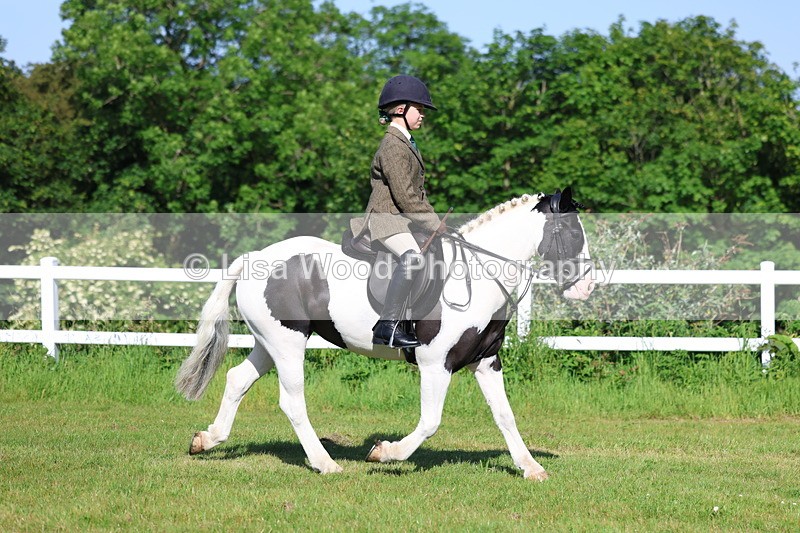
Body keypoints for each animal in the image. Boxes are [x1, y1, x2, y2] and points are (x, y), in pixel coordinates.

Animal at [175, 188, 595, 481]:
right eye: (571, 231)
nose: (586, 287)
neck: (480, 275)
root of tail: (255, 258)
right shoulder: (435, 364)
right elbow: (430, 421)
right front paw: (385, 453)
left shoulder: (486, 362)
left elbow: (506, 416)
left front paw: (531, 467)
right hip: (287, 344)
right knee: (292, 402)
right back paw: (325, 463)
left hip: (270, 343)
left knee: (236, 380)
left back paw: (206, 440)